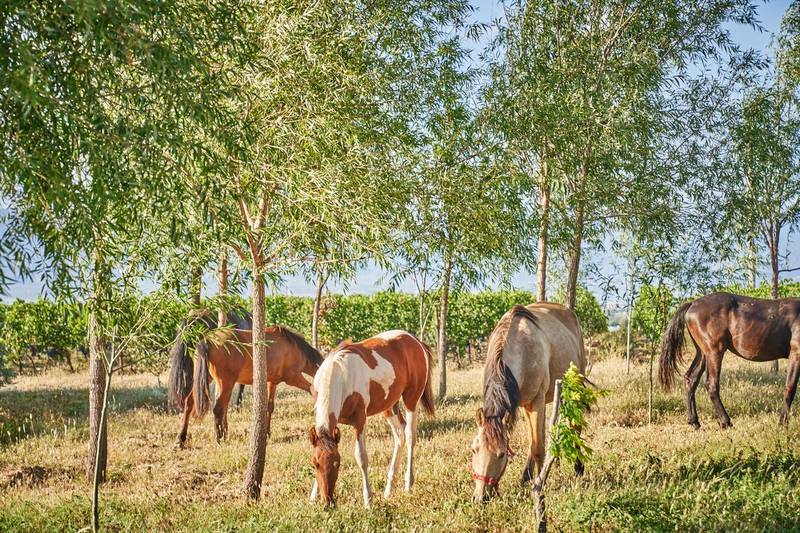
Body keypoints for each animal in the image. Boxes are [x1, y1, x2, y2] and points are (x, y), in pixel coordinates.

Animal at [167, 310, 323, 447]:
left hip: (207, 380)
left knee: (189, 403)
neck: (292, 347)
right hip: (226, 383)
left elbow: (269, 407)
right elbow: (313, 391)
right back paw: (219, 439)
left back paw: (181, 439)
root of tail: (207, 340)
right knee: (218, 408)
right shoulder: (293, 378)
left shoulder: (272, 382)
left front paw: (267, 433)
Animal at [307, 330, 435, 508]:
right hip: (389, 406)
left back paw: (408, 484)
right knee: (400, 435)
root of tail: (416, 341)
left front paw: (368, 499)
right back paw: (389, 488)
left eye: (337, 464)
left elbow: (361, 457)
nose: (328, 502)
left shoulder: (360, 420)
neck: (340, 374)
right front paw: (313, 497)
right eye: (315, 464)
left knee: (410, 436)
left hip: (411, 399)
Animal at [470, 304, 587, 503]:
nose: (481, 497)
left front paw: (541, 483)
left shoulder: (535, 401)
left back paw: (578, 468)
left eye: (501, 454)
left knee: (574, 427)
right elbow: (533, 442)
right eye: (474, 450)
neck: (520, 347)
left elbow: (537, 447)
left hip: (574, 387)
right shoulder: (523, 404)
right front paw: (527, 477)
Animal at [660, 291, 800, 428]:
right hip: (714, 352)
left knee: (690, 379)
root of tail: (692, 303)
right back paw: (725, 422)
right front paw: (783, 422)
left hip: (703, 353)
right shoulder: (796, 355)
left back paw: (694, 421)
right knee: (711, 385)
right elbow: (790, 388)